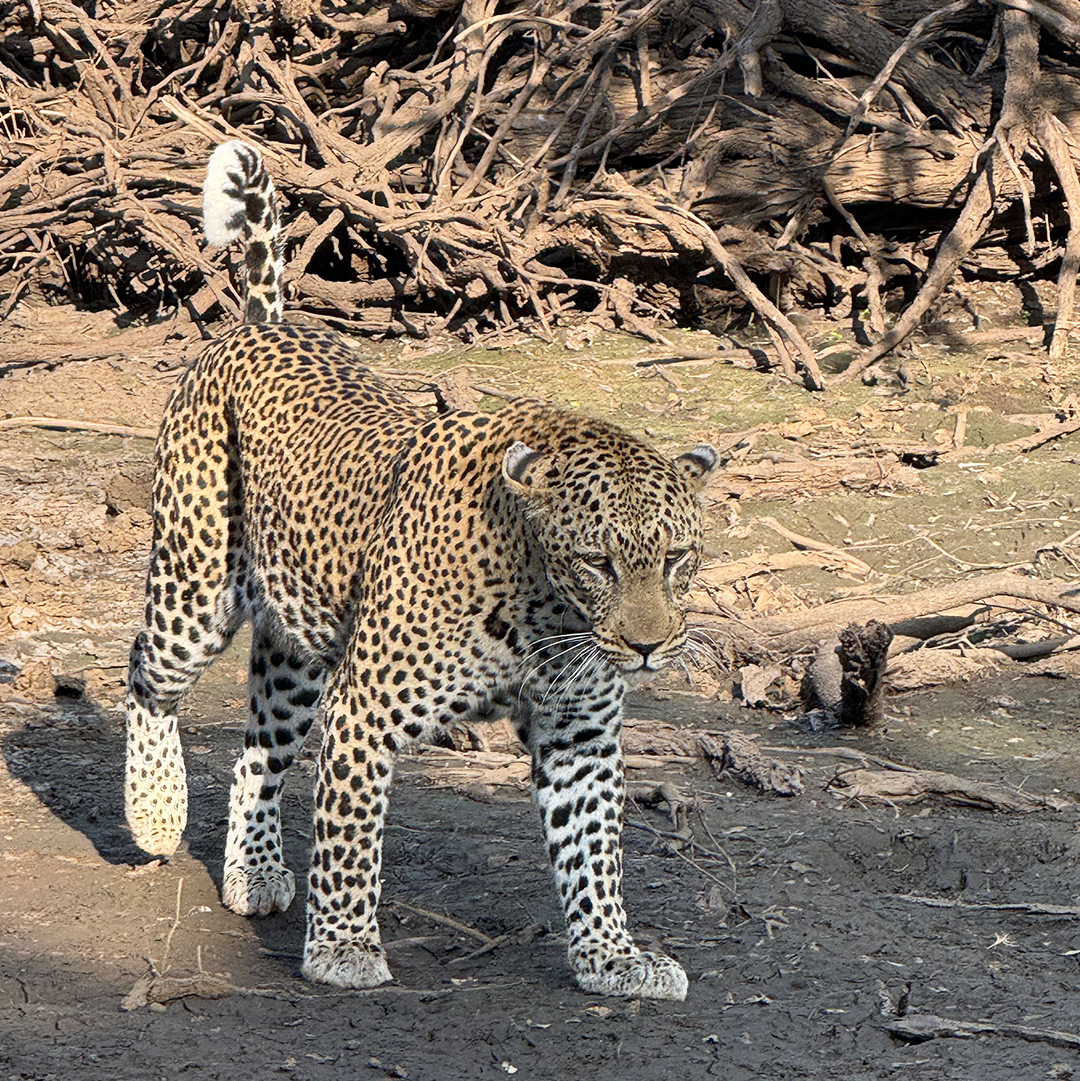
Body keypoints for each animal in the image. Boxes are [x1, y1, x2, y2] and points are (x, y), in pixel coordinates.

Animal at [124, 139, 718, 1001]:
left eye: (676, 559)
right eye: (599, 562)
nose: (647, 648)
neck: (545, 611)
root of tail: (264, 325)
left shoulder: (579, 733)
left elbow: (594, 854)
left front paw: (613, 954)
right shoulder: (366, 710)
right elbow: (350, 838)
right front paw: (342, 948)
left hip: (298, 645)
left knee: (257, 751)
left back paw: (254, 868)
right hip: (195, 584)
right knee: (146, 670)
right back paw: (154, 810)